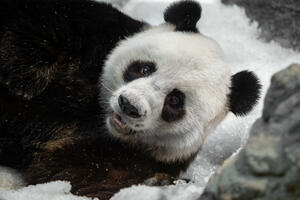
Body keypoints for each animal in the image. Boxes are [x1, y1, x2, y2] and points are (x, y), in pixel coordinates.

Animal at [0, 0, 260, 198]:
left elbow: (73, 174)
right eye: (145, 68)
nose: (129, 105)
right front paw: (25, 80)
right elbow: (42, 19)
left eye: (175, 101)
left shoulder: (141, 157)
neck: (97, 113)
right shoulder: (98, 31)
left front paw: (158, 183)